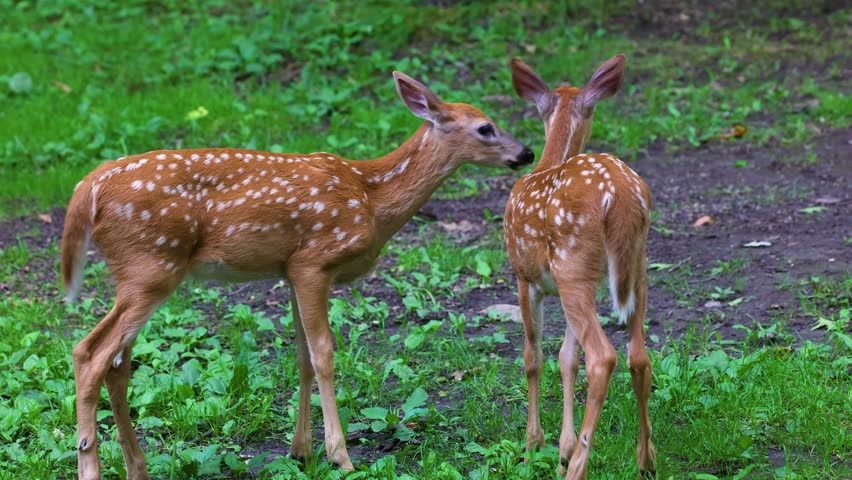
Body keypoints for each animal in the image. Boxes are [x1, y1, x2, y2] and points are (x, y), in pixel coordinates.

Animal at [61, 71, 534, 480]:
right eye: (486, 128)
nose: (527, 153)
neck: (371, 197)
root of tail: (88, 187)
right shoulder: (315, 260)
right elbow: (324, 352)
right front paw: (340, 455)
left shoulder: (289, 269)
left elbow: (302, 356)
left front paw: (301, 450)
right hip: (151, 267)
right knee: (90, 353)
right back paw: (89, 465)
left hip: (140, 273)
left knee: (116, 364)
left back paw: (136, 469)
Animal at [504, 55, 656, 479]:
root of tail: (620, 196)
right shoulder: (568, 282)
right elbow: (566, 359)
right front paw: (562, 449)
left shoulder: (525, 276)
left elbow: (533, 358)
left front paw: (533, 447)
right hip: (634, 267)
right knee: (639, 355)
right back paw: (646, 460)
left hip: (573, 265)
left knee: (603, 357)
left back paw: (579, 469)